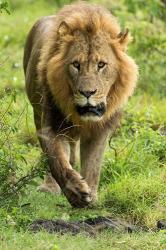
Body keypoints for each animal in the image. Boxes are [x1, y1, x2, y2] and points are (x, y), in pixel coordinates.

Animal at [23, 1, 137, 207]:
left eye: (101, 65)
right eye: (76, 64)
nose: (87, 93)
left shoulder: (100, 130)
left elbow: (93, 165)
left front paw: (91, 196)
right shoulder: (51, 125)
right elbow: (57, 162)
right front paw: (76, 193)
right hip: (37, 112)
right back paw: (49, 187)